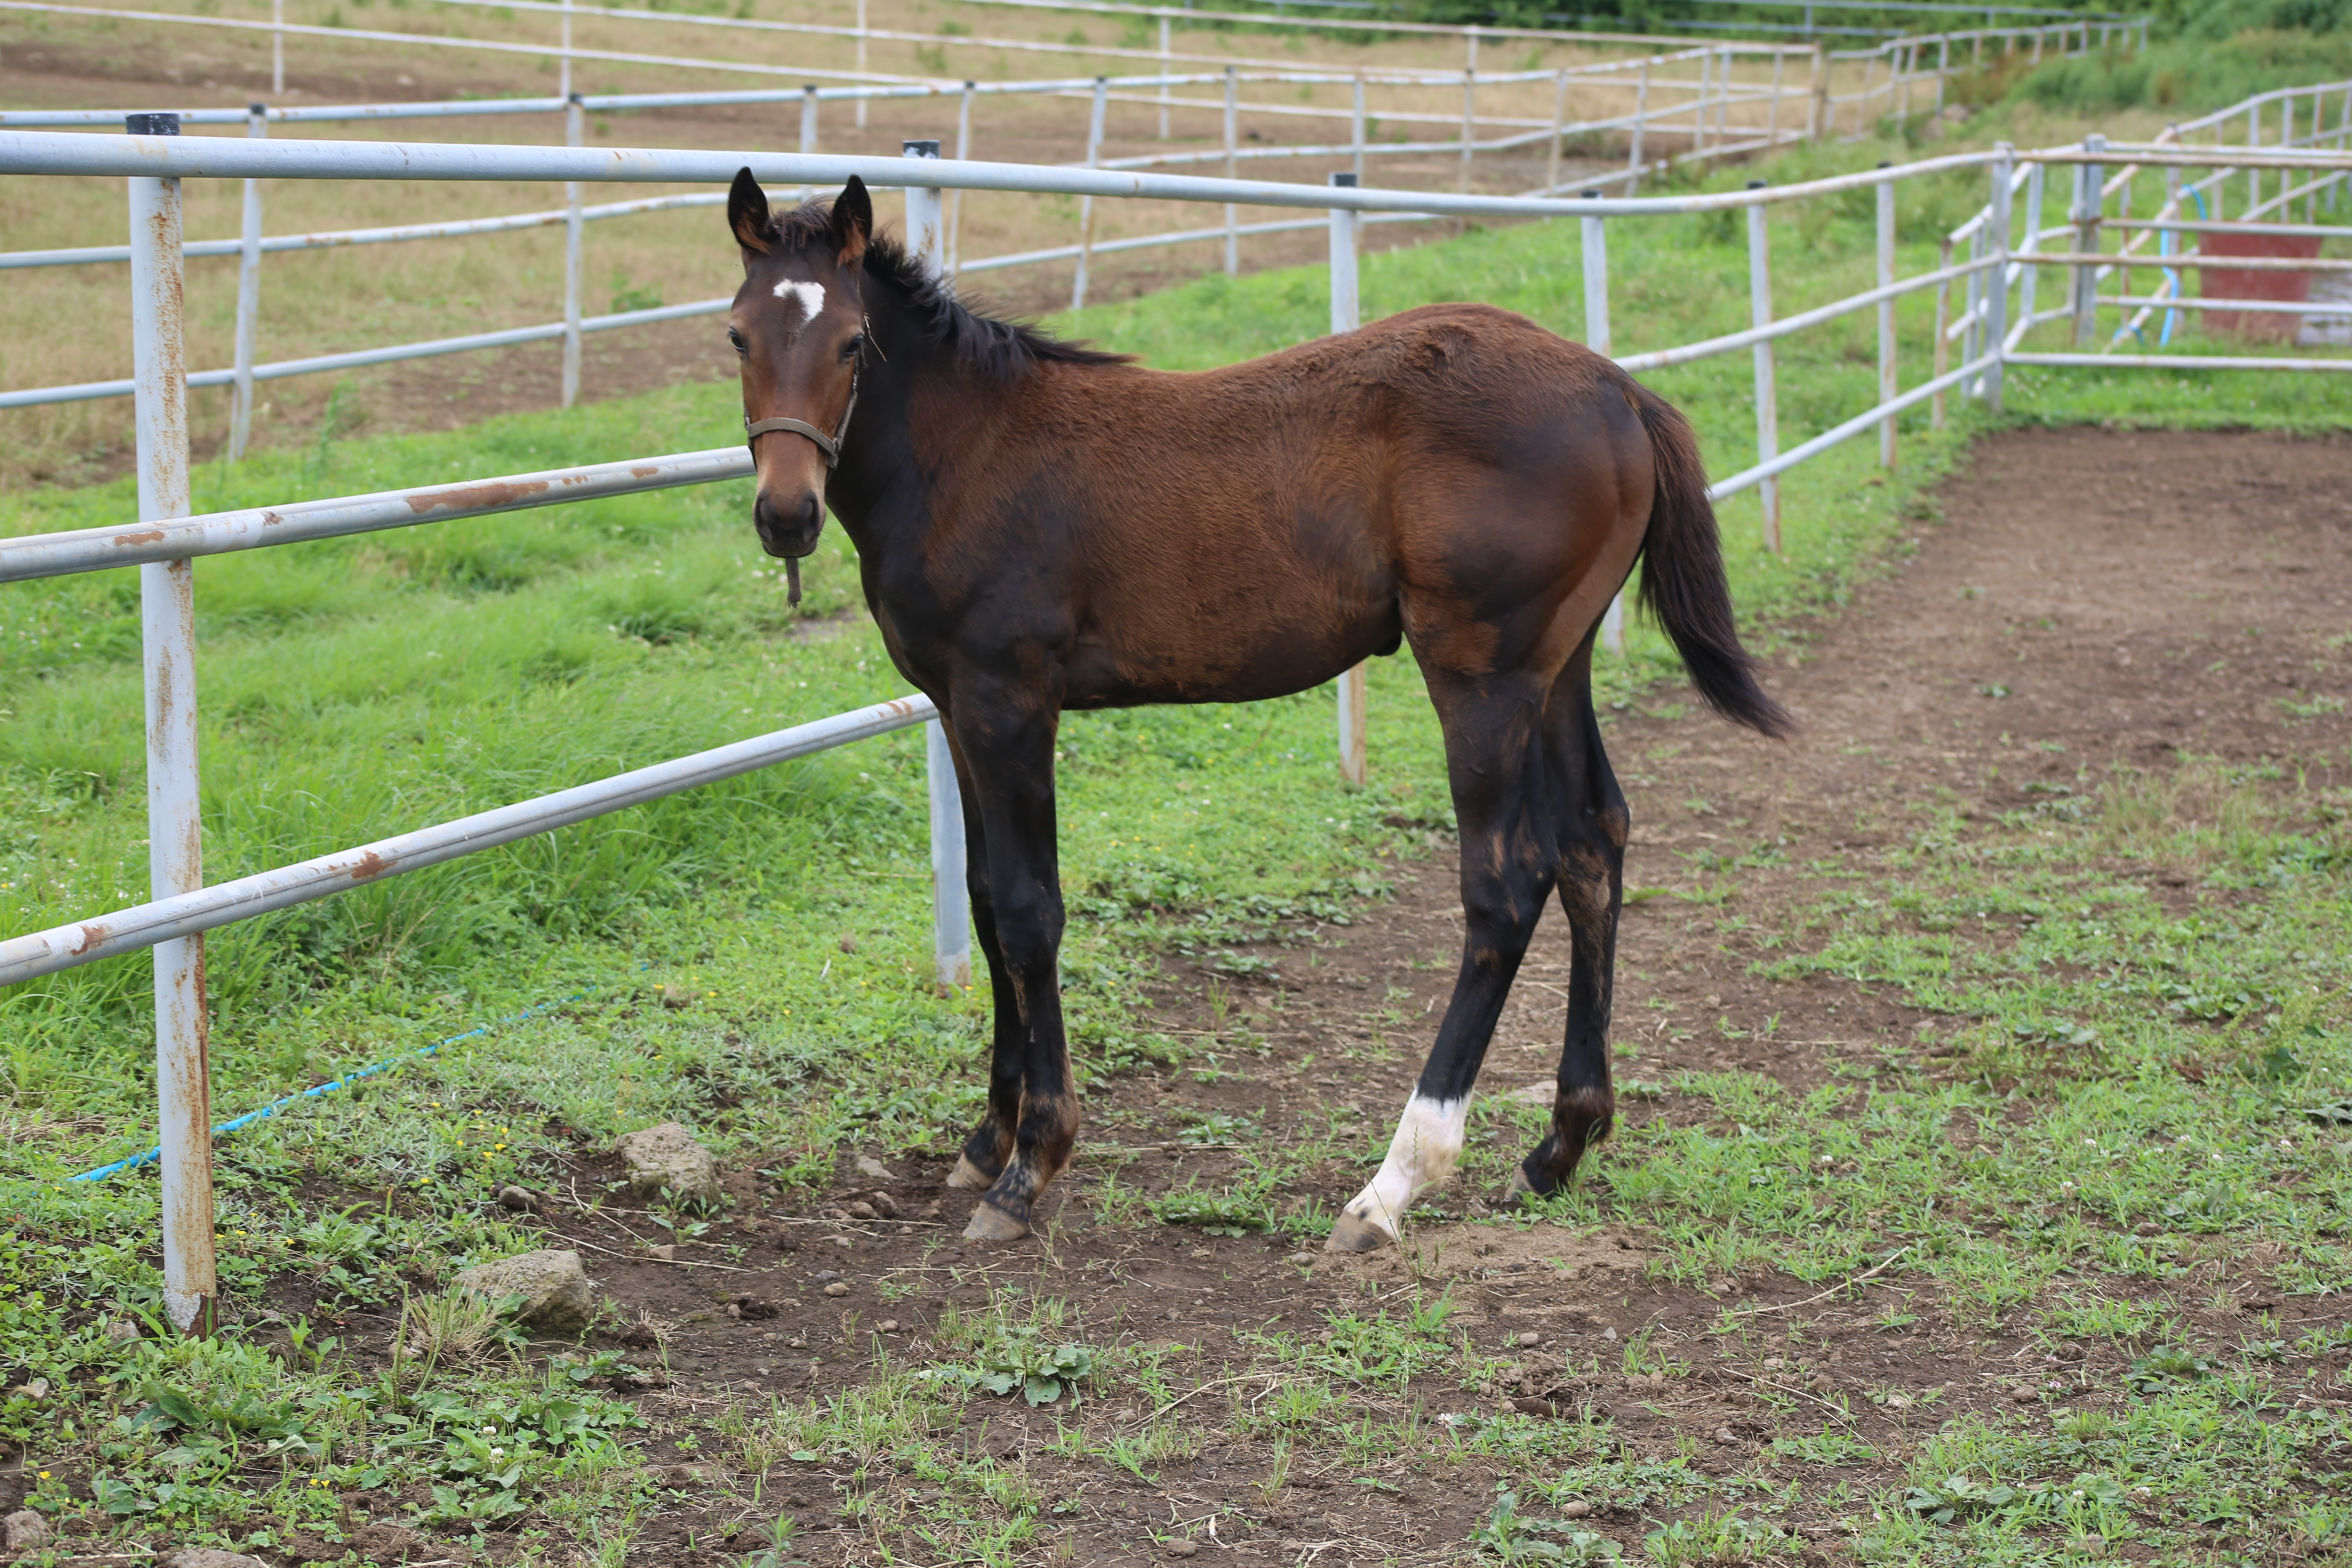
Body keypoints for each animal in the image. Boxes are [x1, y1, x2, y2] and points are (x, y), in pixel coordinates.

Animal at [724, 175, 1787, 1250]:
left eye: (851, 341)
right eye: (737, 336)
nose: (786, 515)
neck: (969, 453)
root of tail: (1618, 390)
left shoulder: (1008, 703)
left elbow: (1028, 913)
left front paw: (1029, 1166)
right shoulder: (955, 708)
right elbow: (984, 907)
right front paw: (986, 1141)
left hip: (1481, 674)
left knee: (1506, 881)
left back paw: (1393, 1182)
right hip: (1557, 666)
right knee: (1591, 841)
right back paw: (1559, 1146)